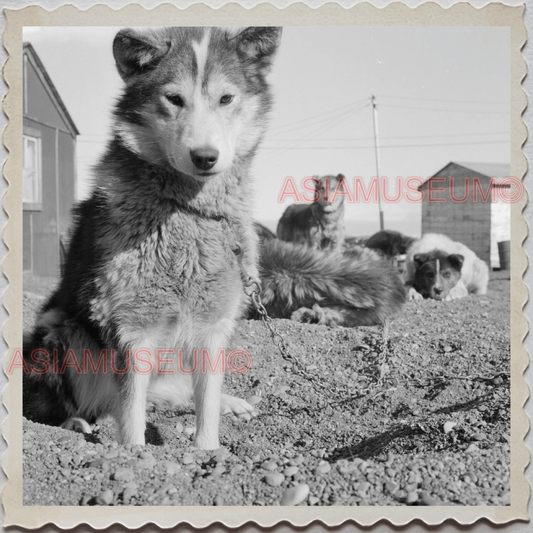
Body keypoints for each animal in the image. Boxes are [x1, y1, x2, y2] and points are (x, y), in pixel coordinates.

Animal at [24, 26, 280, 448]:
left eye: (226, 98)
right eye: (174, 99)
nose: (205, 157)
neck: (190, 212)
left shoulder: (213, 327)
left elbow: (206, 405)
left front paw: (210, 449)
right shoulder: (131, 329)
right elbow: (132, 415)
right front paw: (134, 454)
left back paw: (231, 402)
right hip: (59, 329)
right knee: (67, 406)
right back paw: (76, 424)